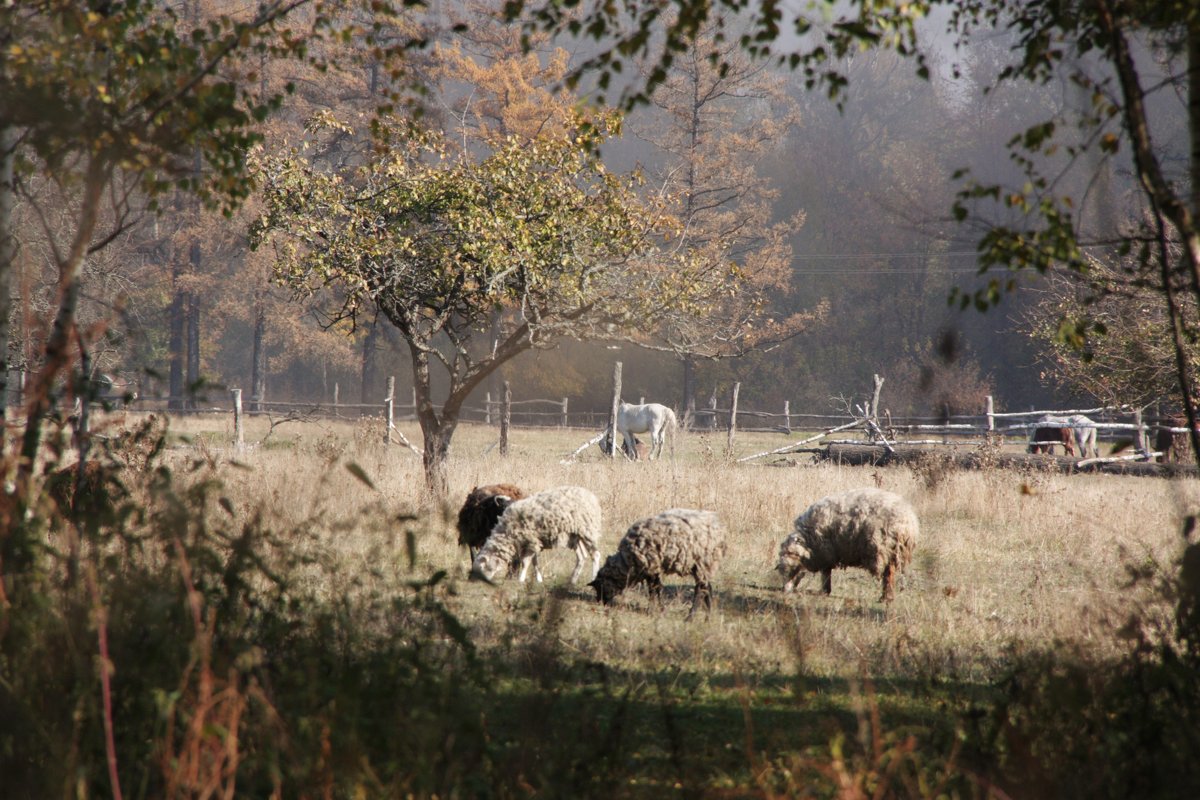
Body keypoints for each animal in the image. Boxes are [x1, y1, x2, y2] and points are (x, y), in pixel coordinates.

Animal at [465, 484, 600, 585]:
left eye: (481, 569)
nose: (472, 581)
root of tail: (590, 495)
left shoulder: (531, 540)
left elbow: (526, 562)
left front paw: (521, 579)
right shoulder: (533, 542)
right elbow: (534, 561)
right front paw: (537, 579)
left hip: (588, 531)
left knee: (595, 555)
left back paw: (593, 578)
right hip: (575, 536)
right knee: (581, 556)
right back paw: (572, 581)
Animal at [588, 510, 724, 623]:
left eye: (601, 586)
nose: (601, 602)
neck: (627, 562)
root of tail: (720, 531)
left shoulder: (651, 568)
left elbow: (655, 589)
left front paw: (656, 610)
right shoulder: (651, 570)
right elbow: (655, 589)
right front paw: (656, 610)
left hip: (702, 562)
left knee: (700, 590)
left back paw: (690, 618)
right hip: (703, 566)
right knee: (707, 588)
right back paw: (707, 618)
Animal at [777, 484, 916, 604]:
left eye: (791, 569)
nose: (784, 590)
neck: (808, 540)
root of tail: (908, 523)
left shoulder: (826, 552)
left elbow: (826, 573)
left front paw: (824, 591)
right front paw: (825, 591)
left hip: (884, 548)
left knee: (889, 573)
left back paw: (886, 598)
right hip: (893, 550)